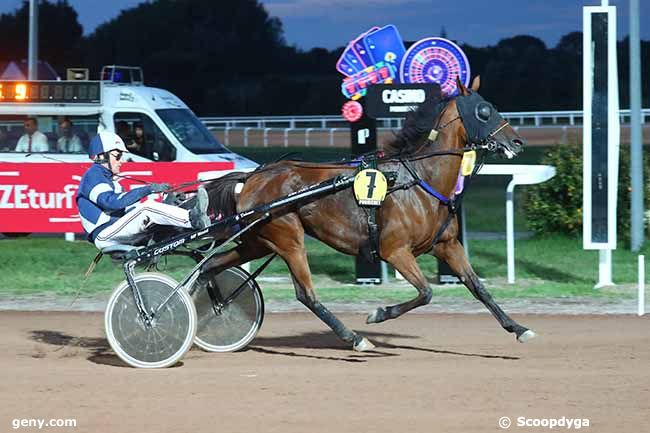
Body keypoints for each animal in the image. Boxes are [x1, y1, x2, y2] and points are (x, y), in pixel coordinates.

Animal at [204, 76, 536, 350]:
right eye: (484, 111)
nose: (517, 142)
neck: (419, 180)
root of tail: (252, 177)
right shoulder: (395, 250)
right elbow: (426, 292)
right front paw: (378, 314)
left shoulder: (447, 245)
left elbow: (478, 287)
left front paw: (519, 328)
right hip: (288, 239)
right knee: (305, 294)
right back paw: (354, 338)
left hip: (258, 241)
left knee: (212, 265)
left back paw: (215, 306)